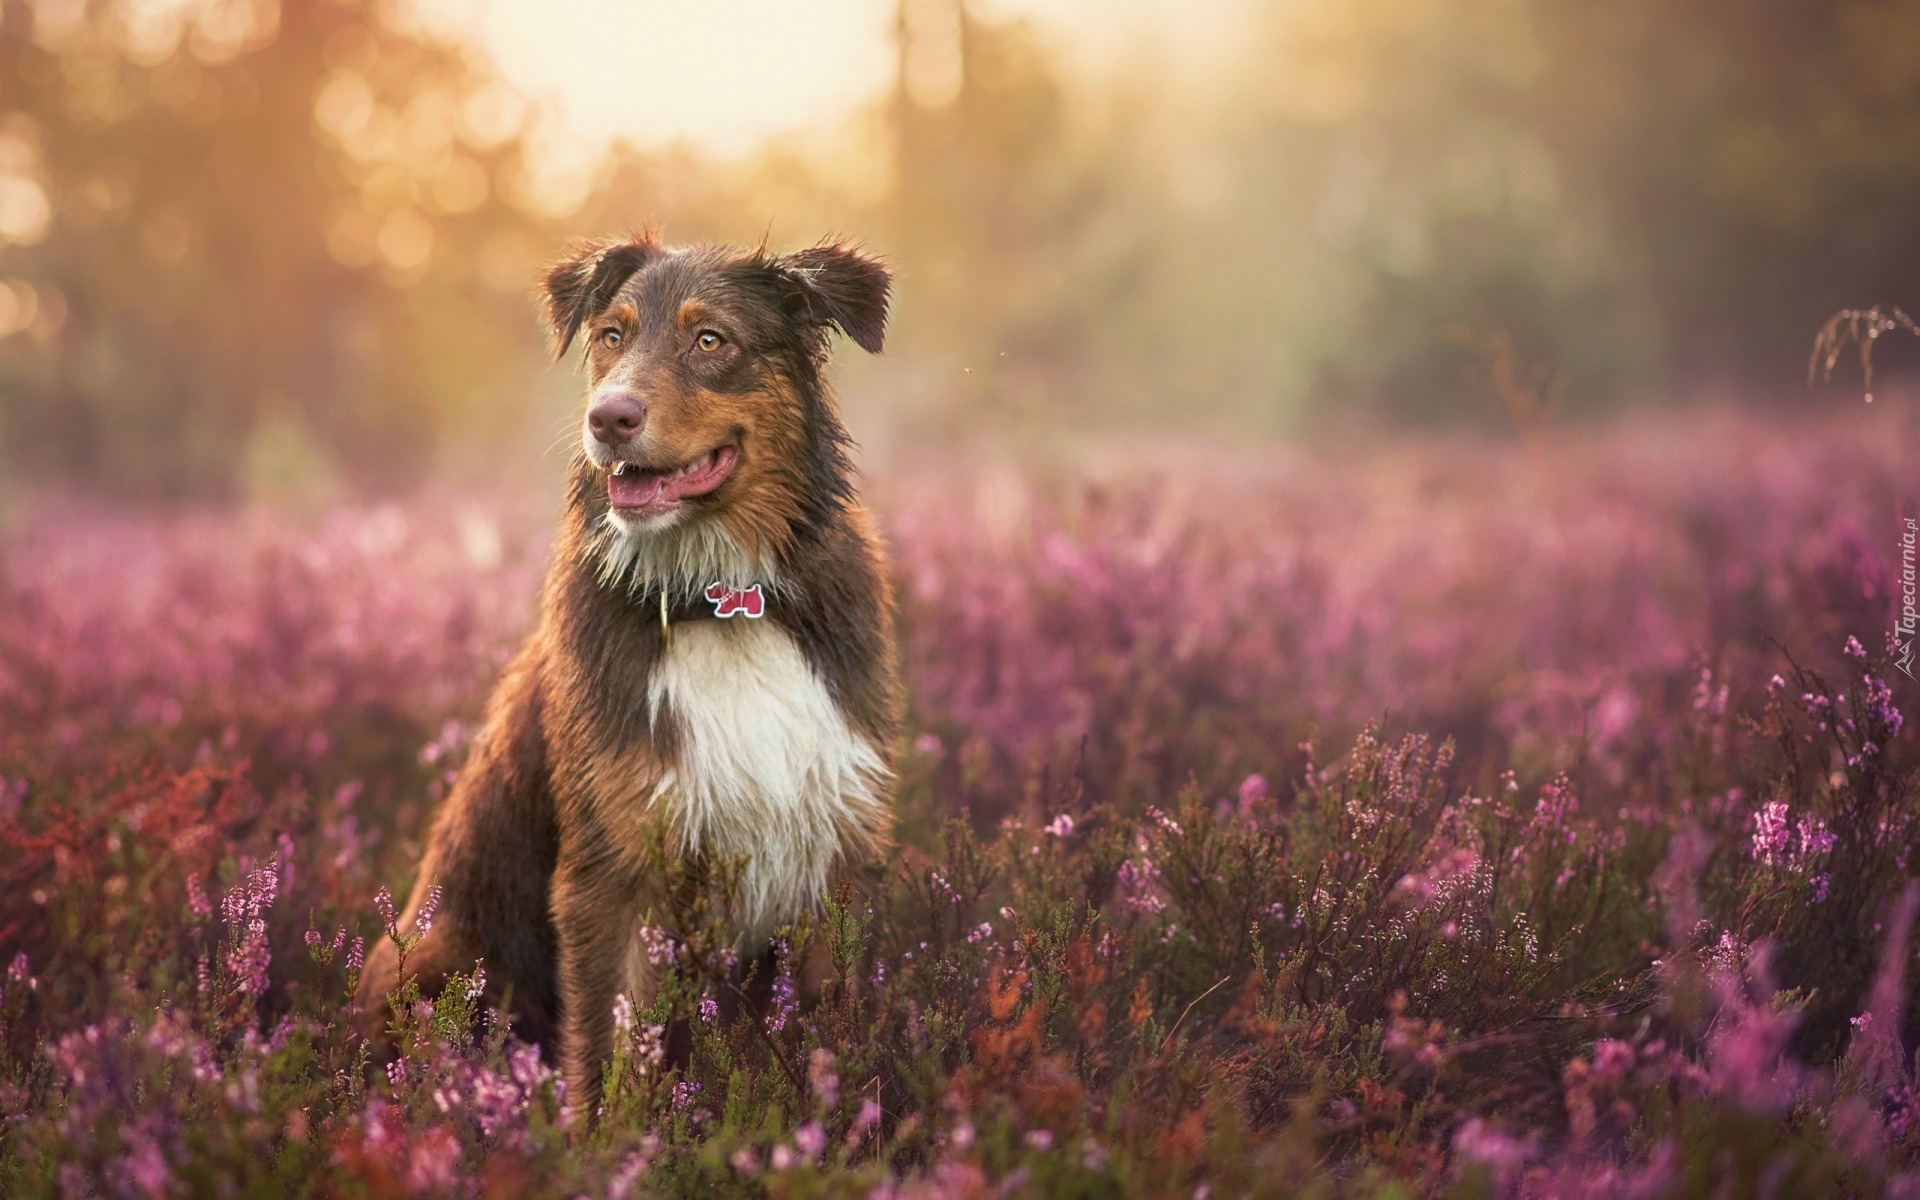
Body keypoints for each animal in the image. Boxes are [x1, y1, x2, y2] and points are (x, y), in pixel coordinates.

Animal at [357, 231, 894, 1105]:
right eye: (612, 335)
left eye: (709, 340)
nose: (607, 418)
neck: (722, 601)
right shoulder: (615, 871)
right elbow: (612, 1065)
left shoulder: (836, 848)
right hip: (440, 963)